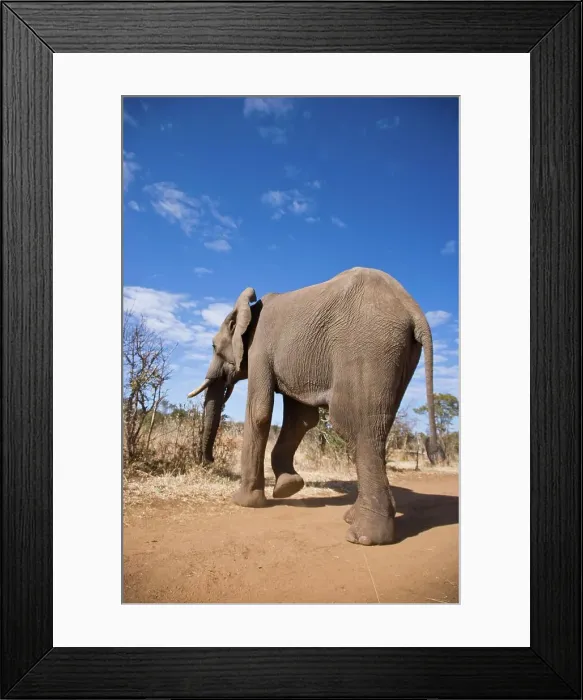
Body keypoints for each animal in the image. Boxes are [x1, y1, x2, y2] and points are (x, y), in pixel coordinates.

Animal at [187, 266, 445, 546]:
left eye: (214, 346)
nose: (209, 460)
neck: (249, 310)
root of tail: (412, 309)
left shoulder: (259, 350)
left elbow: (259, 412)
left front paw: (244, 502)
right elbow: (301, 419)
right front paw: (288, 488)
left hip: (369, 347)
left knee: (356, 426)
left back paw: (364, 536)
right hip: (401, 354)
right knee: (375, 427)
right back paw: (353, 518)